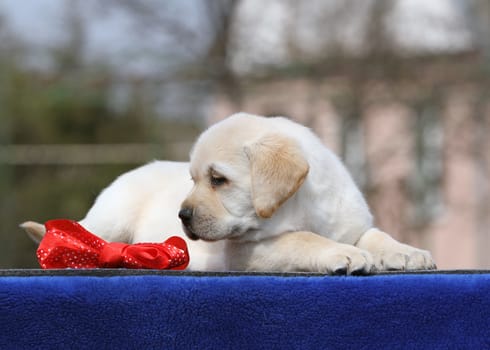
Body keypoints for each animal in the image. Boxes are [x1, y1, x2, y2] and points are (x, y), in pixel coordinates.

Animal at [23, 113, 436, 274]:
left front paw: (407, 251)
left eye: (217, 179)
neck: (299, 208)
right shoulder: (245, 251)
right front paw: (341, 253)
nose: (182, 216)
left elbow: (376, 235)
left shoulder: (351, 222)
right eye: (192, 179)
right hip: (110, 217)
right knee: (78, 237)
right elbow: (301, 239)